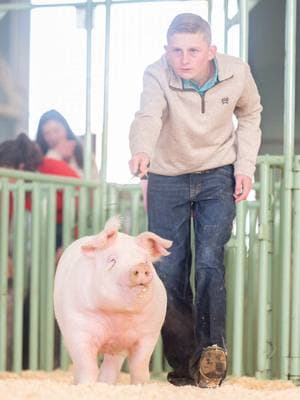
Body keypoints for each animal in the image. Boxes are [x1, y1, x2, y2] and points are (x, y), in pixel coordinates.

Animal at [52, 217, 172, 386]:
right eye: (112, 260)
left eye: (146, 260)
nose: (141, 266)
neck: (118, 316)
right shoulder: (78, 329)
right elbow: (87, 364)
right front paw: (86, 385)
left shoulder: (149, 334)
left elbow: (140, 365)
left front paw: (140, 385)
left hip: (118, 350)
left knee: (112, 364)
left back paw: (106, 383)